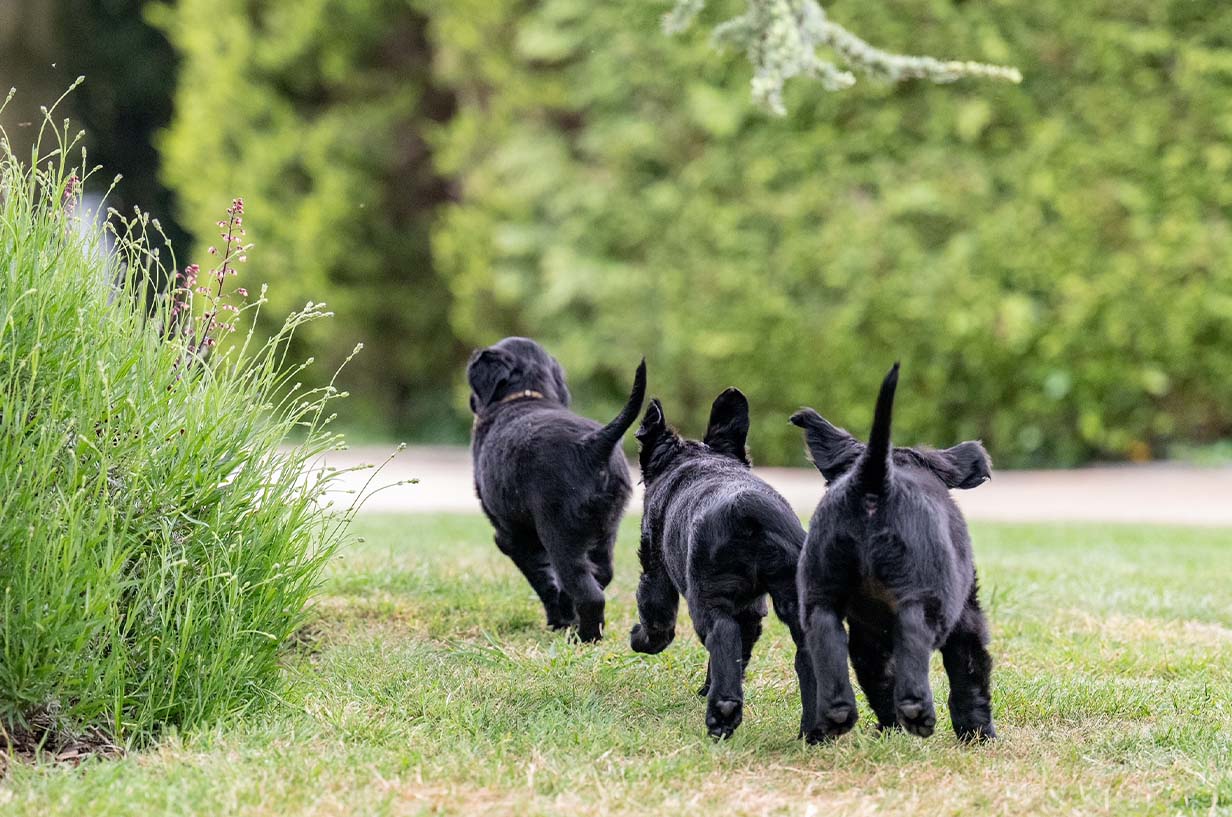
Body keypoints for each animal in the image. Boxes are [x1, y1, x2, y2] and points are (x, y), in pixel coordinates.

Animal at [468, 335, 650, 640]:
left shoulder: (513, 537)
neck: (527, 395)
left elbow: (542, 579)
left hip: (561, 535)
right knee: (600, 575)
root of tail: (593, 444)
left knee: (588, 592)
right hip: (607, 530)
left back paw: (584, 637)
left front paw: (557, 620)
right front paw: (565, 617)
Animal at [630, 389, 813, 739]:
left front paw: (638, 638)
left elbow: (658, 625)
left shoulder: (654, 573)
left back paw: (722, 715)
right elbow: (741, 652)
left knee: (722, 639)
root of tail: (749, 508)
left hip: (708, 600)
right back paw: (821, 727)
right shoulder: (753, 611)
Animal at [788, 367, 1000, 744]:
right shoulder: (966, 616)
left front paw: (890, 727)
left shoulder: (867, 634)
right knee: (915, 635)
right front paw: (977, 732)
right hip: (928, 597)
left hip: (819, 592)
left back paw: (837, 713)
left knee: (826, 639)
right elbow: (970, 672)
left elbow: (877, 676)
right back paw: (918, 712)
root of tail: (873, 480)